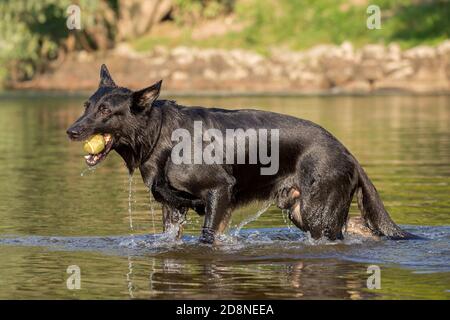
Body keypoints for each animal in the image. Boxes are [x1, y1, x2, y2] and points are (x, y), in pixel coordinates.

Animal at [66, 65, 414, 244]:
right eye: (87, 106)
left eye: (106, 111)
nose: (71, 131)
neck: (159, 137)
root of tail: (349, 154)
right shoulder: (172, 208)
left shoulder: (219, 192)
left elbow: (208, 236)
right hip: (301, 211)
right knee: (360, 226)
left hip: (317, 215)